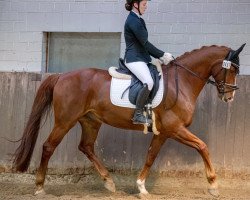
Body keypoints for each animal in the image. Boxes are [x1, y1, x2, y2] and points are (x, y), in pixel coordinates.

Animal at [12, 43, 245, 197]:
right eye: (233, 69)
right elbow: (202, 146)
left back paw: (109, 182)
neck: (182, 82)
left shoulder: (164, 132)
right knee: (48, 146)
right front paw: (213, 185)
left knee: (86, 146)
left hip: (90, 121)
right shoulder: (174, 128)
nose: (230, 97)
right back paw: (40, 187)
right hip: (65, 121)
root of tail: (62, 76)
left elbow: (151, 155)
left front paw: (141, 186)